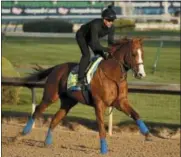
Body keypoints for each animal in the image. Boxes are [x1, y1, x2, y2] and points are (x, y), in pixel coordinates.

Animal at [20, 37, 150, 154]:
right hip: (50, 96)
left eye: (143, 54)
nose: (141, 74)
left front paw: (147, 134)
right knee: (37, 110)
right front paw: (104, 150)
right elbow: (101, 127)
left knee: (55, 118)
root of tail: (56, 67)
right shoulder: (99, 104)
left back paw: (47, 142)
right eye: (133, 54)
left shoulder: (121, 102)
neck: (112, 75)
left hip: (68, 103)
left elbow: (136, 115)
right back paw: (23, 133)